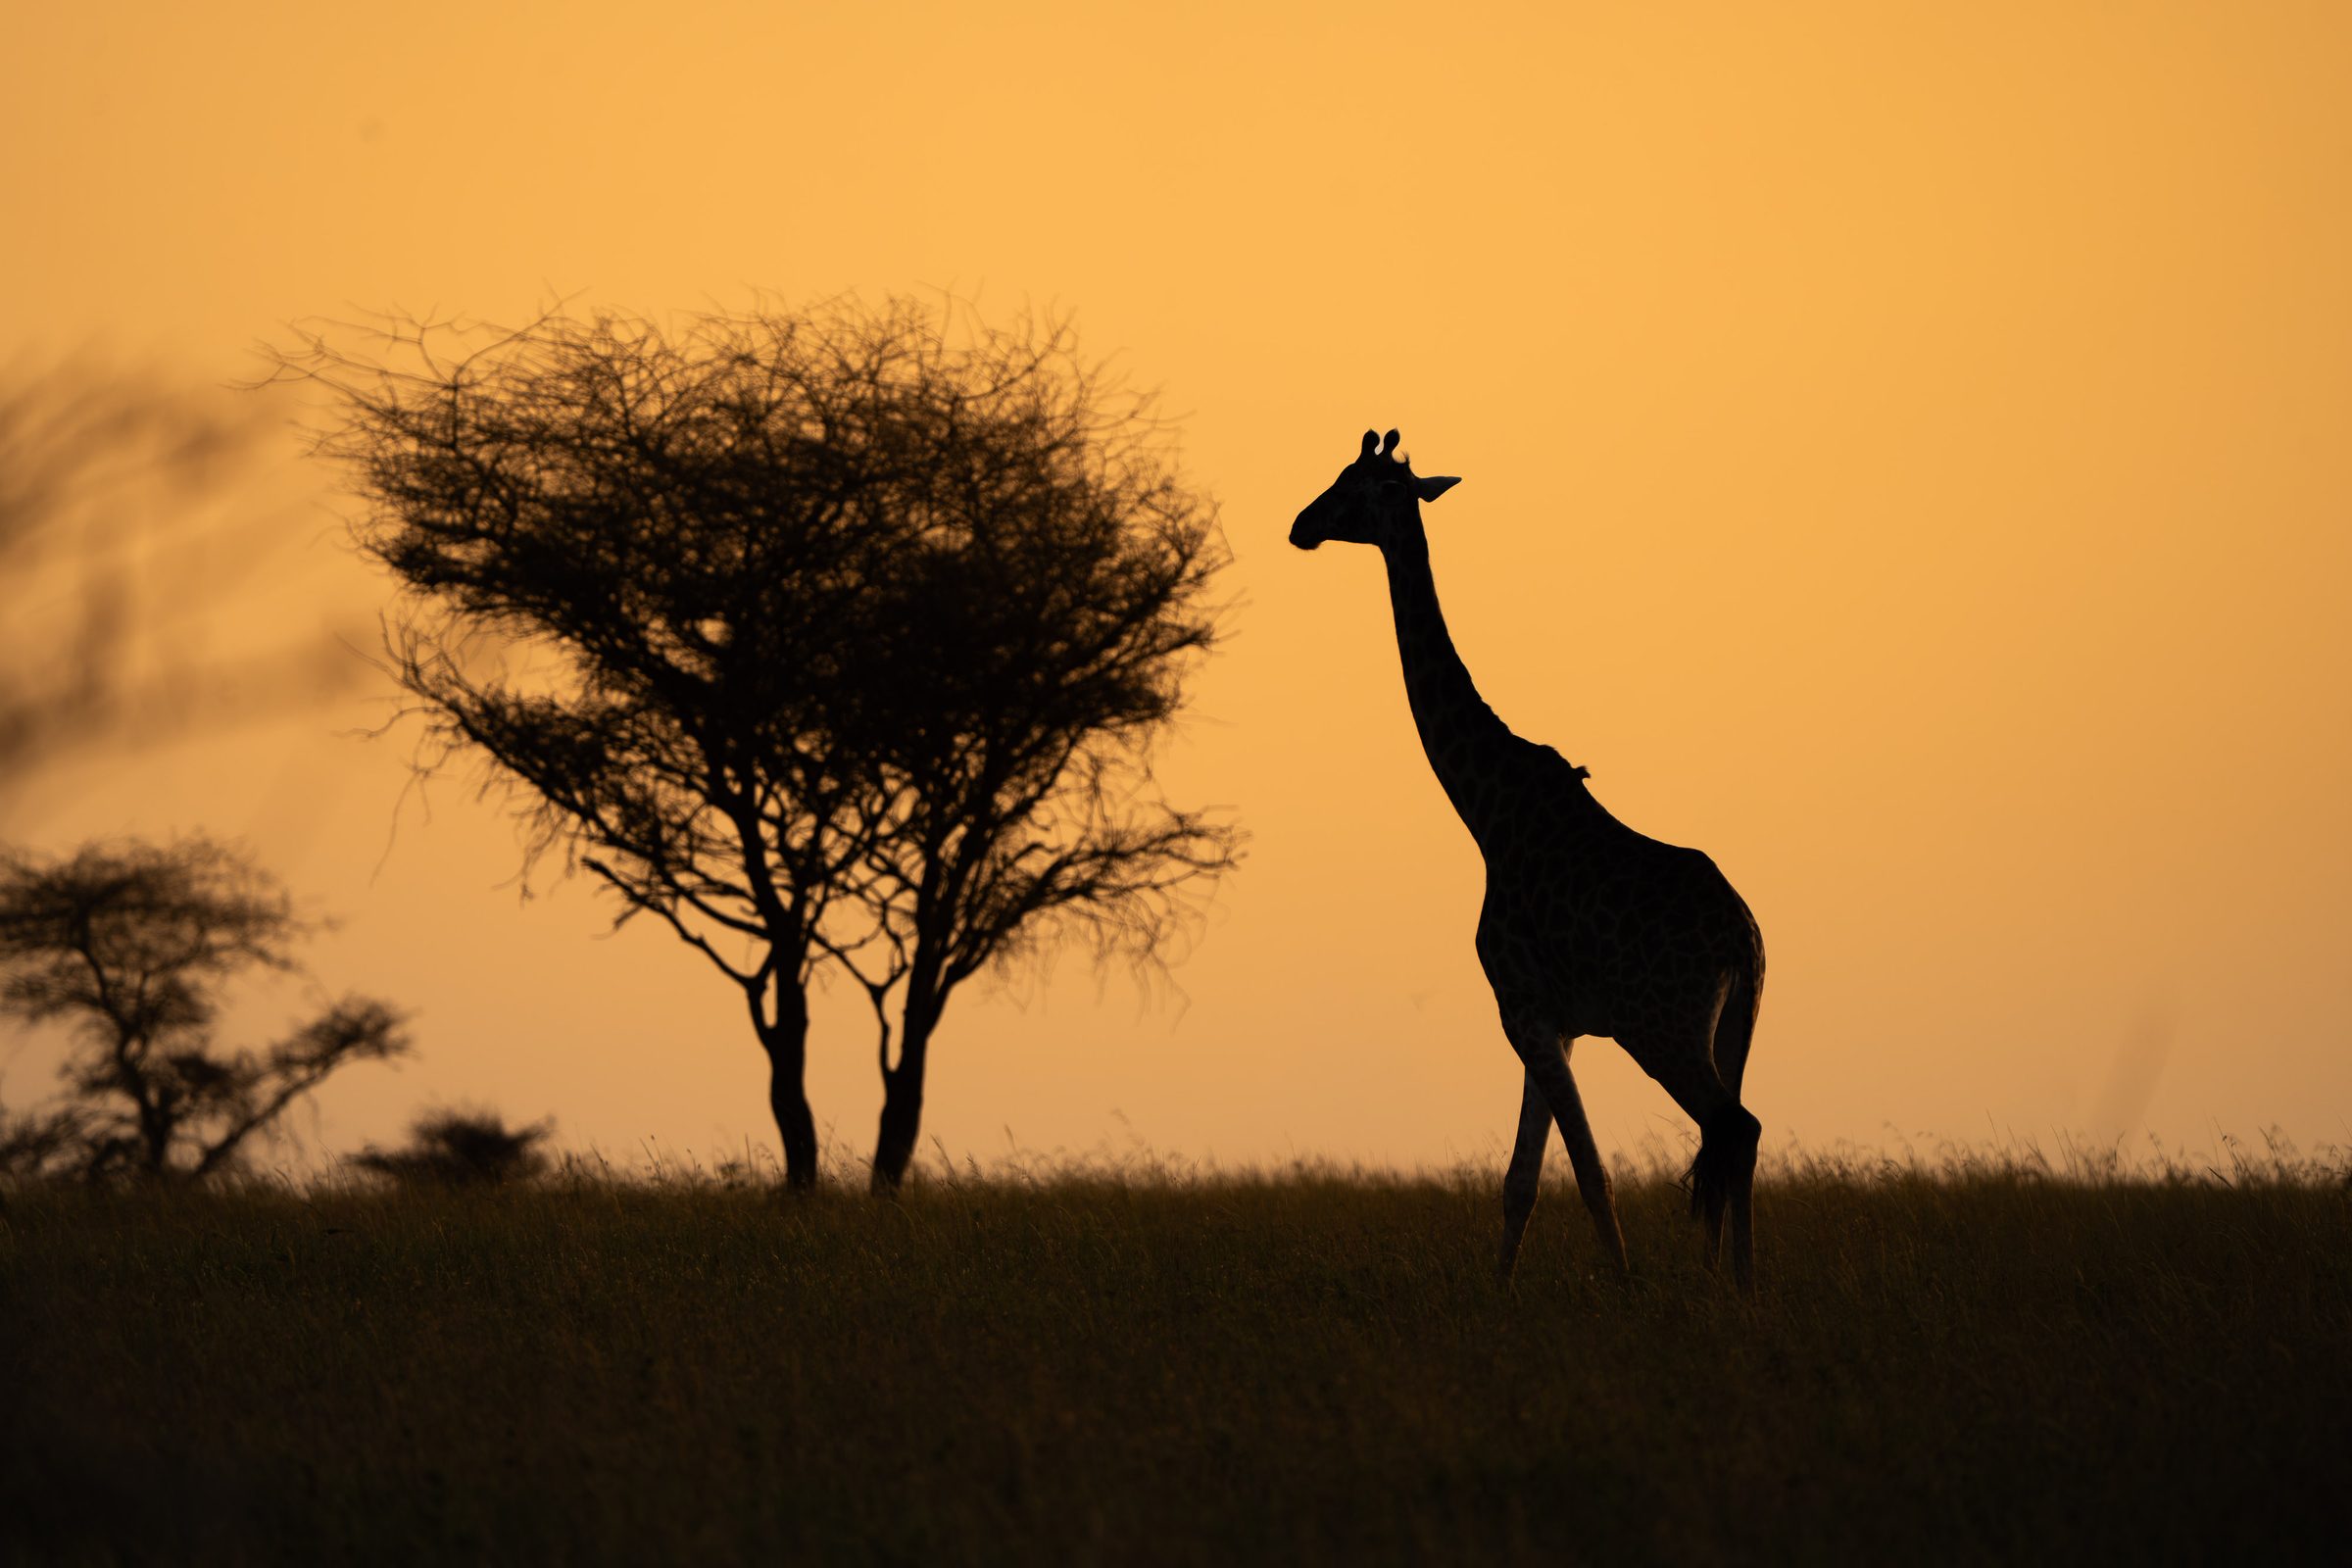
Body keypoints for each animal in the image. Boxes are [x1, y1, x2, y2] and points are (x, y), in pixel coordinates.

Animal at [1290, 429, 1767, 1288]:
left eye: (1352, 486)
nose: (1299, 525)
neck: (1487, 812)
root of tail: (1745, 939)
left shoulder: (1521, 1006)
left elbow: (1585, 1172)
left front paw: (1626, 1294)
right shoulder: (1553, 1021)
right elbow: (1521, 1180)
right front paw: (1501, 1293)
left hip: (1663, 1027)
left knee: (1734, 1129)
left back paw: (1731, 1290)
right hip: (1734, 1026)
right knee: (1727, 1142)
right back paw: (1733, 1289)